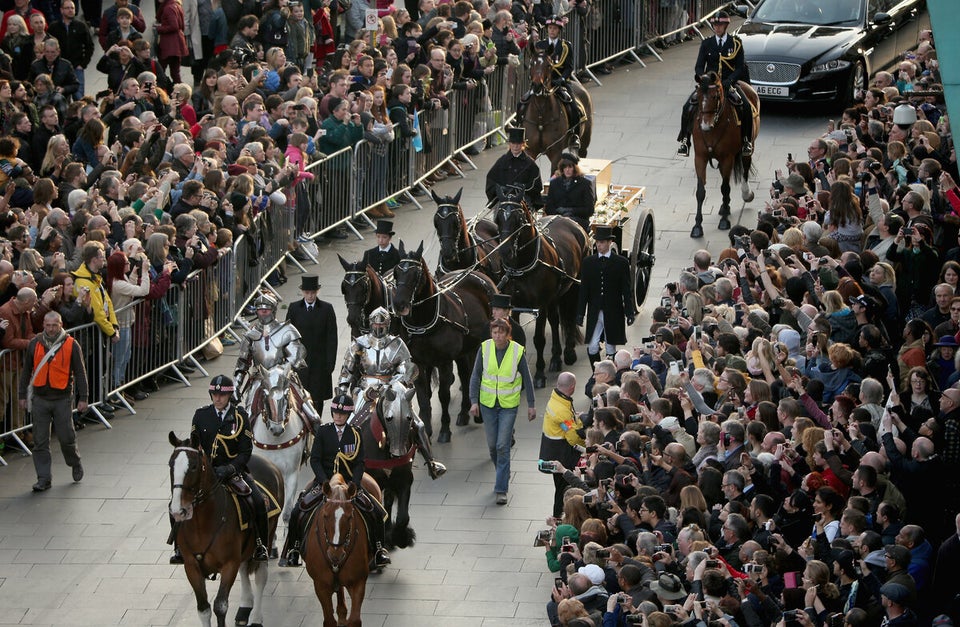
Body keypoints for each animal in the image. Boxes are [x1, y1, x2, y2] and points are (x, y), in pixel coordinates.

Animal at [168, 432, 284, 627]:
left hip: (267, 536)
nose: (178, 510)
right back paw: (245, 606)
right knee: (244, 568)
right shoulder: (191, 566)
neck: (202, 524)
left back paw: (256, 617)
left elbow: (220, 606)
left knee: (260, 577)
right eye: (170, 465)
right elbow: (204, 608)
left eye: (193, 466)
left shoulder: (229, 564)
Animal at [304, 476, 372, 627]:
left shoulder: (358, 582)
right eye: (325, 515)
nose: (336, 555)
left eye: (350, 517)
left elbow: (355, 620)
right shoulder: (321, 585)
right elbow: (329, 620)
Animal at [390, 239, 496, 442]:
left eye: (416, 274)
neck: (424, 322)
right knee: (465, 375)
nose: (399, 304)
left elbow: (443, 395)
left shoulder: (444, 362)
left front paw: (445, 429)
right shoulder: (419, 362)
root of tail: (478, 274)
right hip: (465, 349)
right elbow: (423, 396)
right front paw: (426, 428)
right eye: (396, 272)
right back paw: (463, 412)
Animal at [496, 188, 584, 388]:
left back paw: (568, 352)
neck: (522, 265)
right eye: (498, 218)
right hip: (555, 296)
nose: (504, 251)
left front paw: (539, 374)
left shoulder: (540, 306)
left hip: (574, 287)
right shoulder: (513, 306)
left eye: (518, 219)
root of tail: (567, 219)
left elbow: (538, 339)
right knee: (555, 320)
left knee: (569, 317)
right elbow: (516, 336)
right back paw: (556, 358)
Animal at [688, 70, 756, 239]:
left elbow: (725, 188)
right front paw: (697, 226)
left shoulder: (727, 158)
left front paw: (724, 221)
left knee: (745, 168)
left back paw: (745, 194)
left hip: (748, 147)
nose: (705, 125)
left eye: (715, 96)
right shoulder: (700, 157)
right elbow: (700, 191)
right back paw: (725, 207)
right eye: (698, 96)